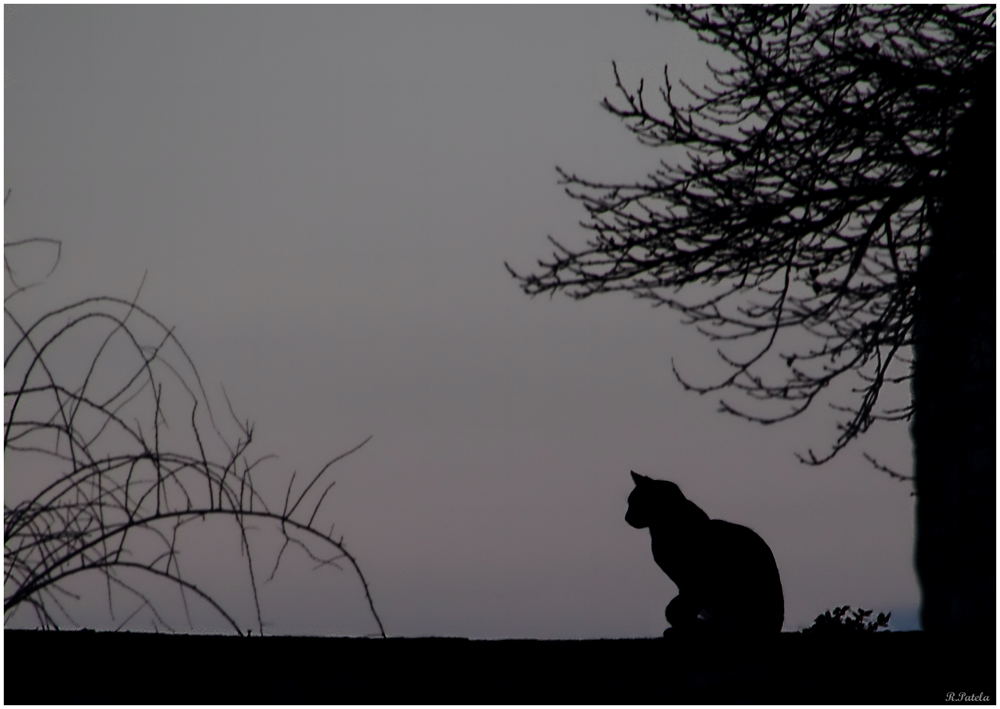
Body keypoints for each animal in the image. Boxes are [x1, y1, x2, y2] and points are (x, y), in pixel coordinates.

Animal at [624, 472, 780, 632]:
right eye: (629, 503)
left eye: (638, 502)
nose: (626, 517)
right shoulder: (683, 584)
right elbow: (678, 606)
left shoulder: (698, 581)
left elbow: (689, 607)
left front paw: (682, 626)